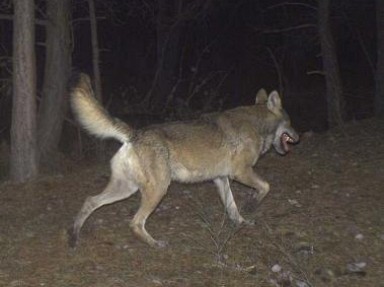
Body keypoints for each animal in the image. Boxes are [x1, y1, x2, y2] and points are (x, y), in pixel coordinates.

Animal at [67, 74, 298, 250]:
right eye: (290, 122)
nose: (298, 137)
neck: (257, 125)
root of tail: (134, 134)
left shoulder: (221, 179)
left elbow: (232, 207)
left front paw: (242, 222)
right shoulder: (240, 172)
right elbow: (265, 187)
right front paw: (251, 204)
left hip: (125, 189)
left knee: (90, 201)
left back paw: (74, 237)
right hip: (157, 190)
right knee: (135, 222)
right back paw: (156, 244)